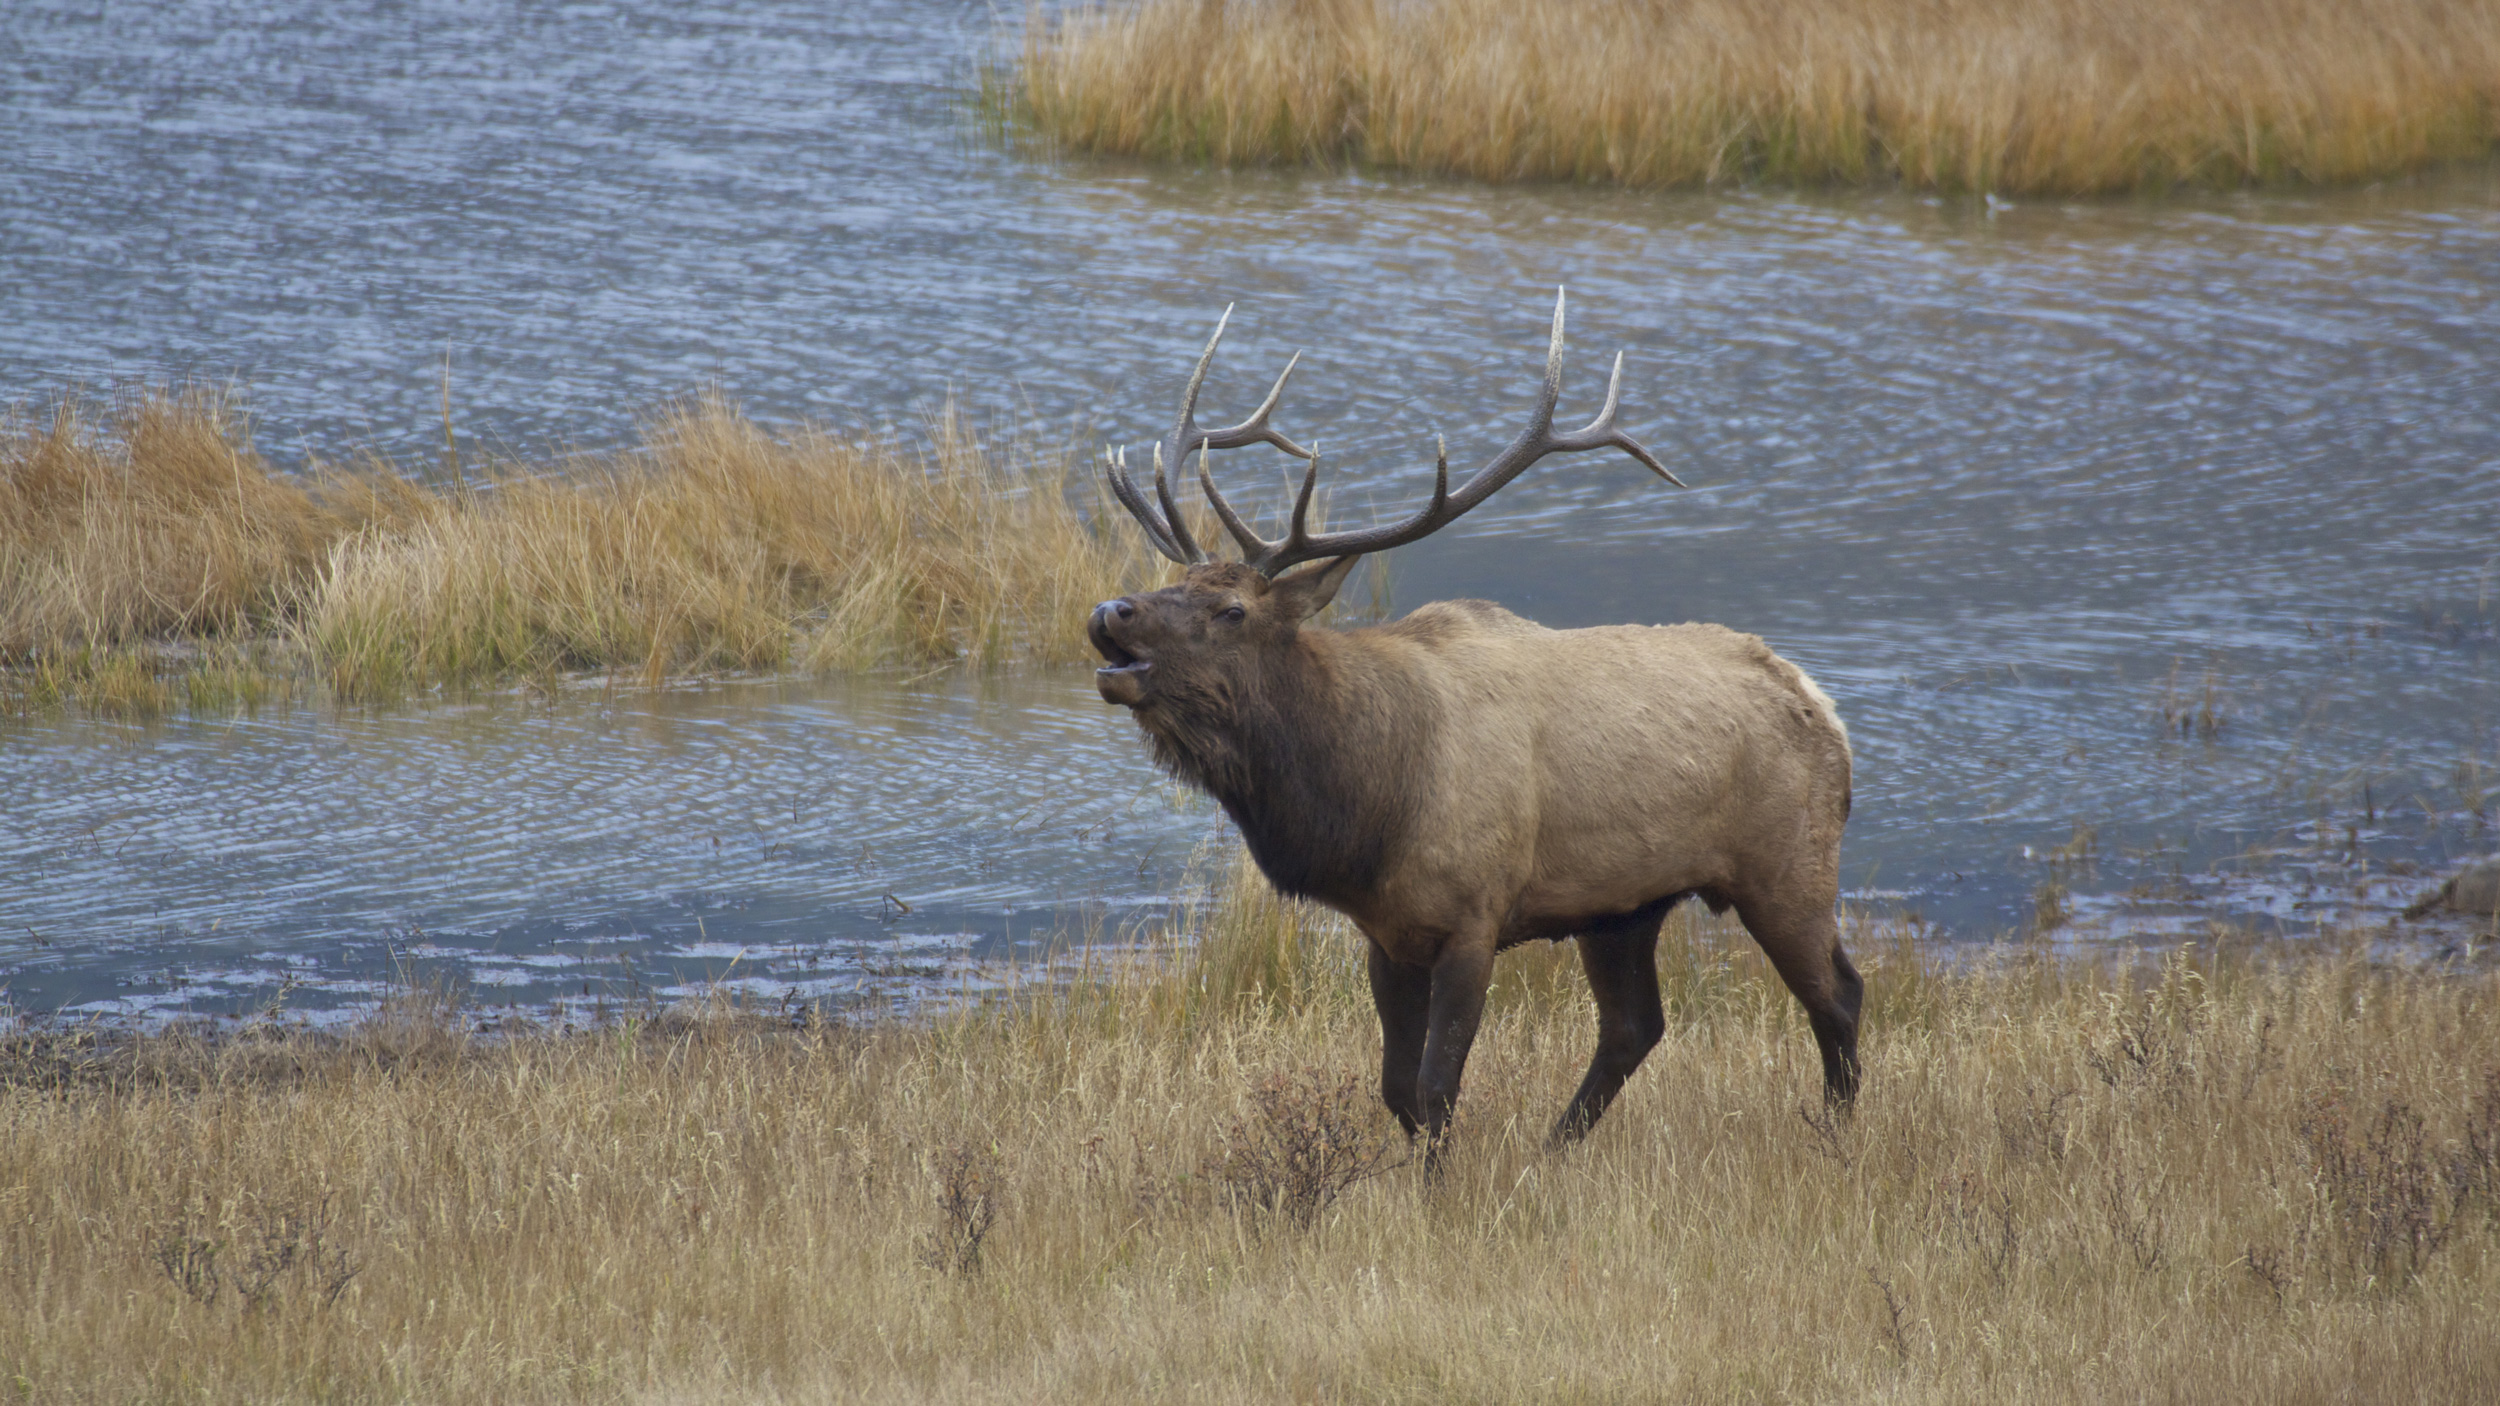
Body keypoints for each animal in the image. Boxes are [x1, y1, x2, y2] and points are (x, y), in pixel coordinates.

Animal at [1087, 291, 1861, 1167]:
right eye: (1174, 579)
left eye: (1231, 610)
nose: (1110, 612)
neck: (1370, 804)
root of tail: (1823, 706)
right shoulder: (1388, 933)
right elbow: (1396, 1090)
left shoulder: (1475, 916)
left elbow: (1435, 1088)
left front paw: (1444, 1187)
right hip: (1625, 905)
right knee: (1635, 1026)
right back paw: (1551, 1153)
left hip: (1787, 864)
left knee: (1838, 997)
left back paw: (1835, 1138)